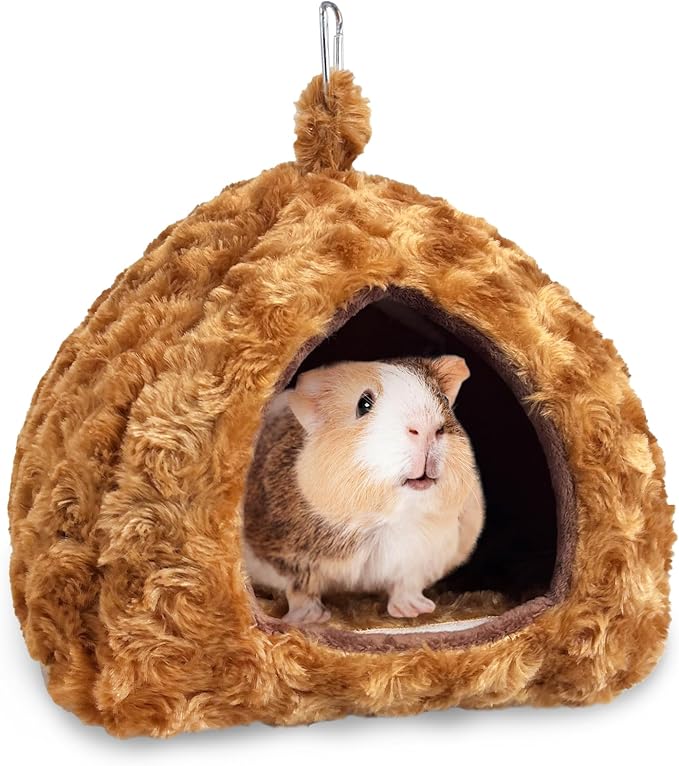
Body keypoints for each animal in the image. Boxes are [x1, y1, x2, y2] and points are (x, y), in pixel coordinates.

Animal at [243, 356, 485, 624]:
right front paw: (310, 618)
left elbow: (407, 584)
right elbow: (300, 588)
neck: (385, 523)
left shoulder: (424, 558)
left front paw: (417, 610)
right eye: (364, 404)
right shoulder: (286, 557)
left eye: (442, 398)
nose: (427, 428)